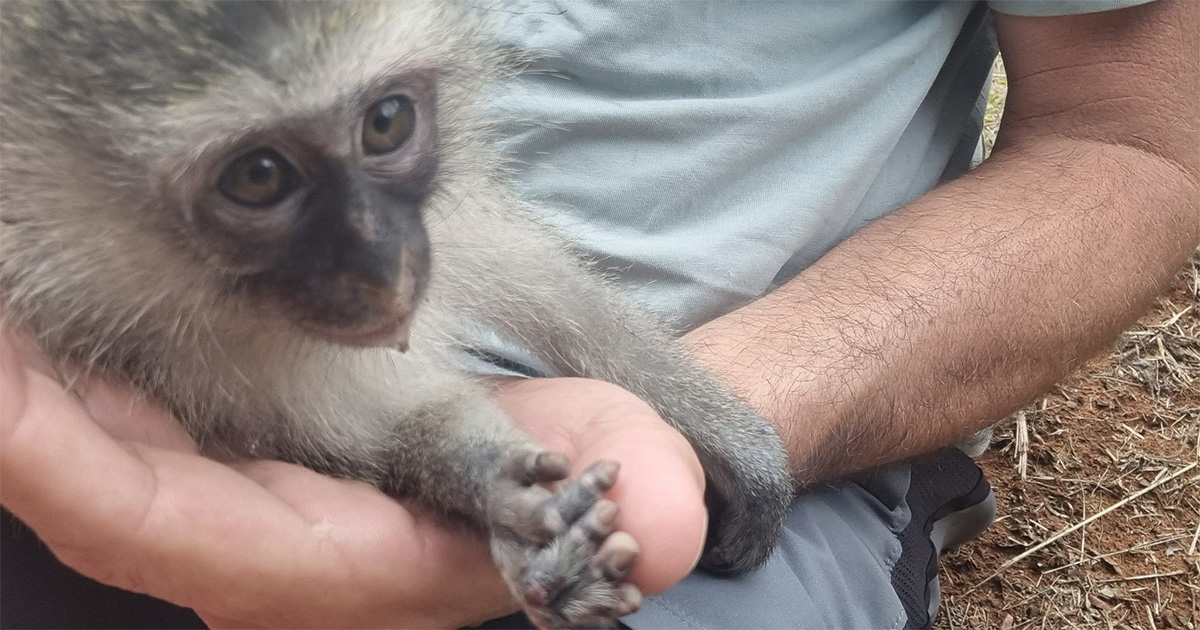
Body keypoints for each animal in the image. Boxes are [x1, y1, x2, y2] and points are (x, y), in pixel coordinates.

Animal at [2, 0, 796, 624]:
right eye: (258, 176)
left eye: (386, 122)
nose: (385, 269)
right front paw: (488, 481)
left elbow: (538, 279)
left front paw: (734, 444)